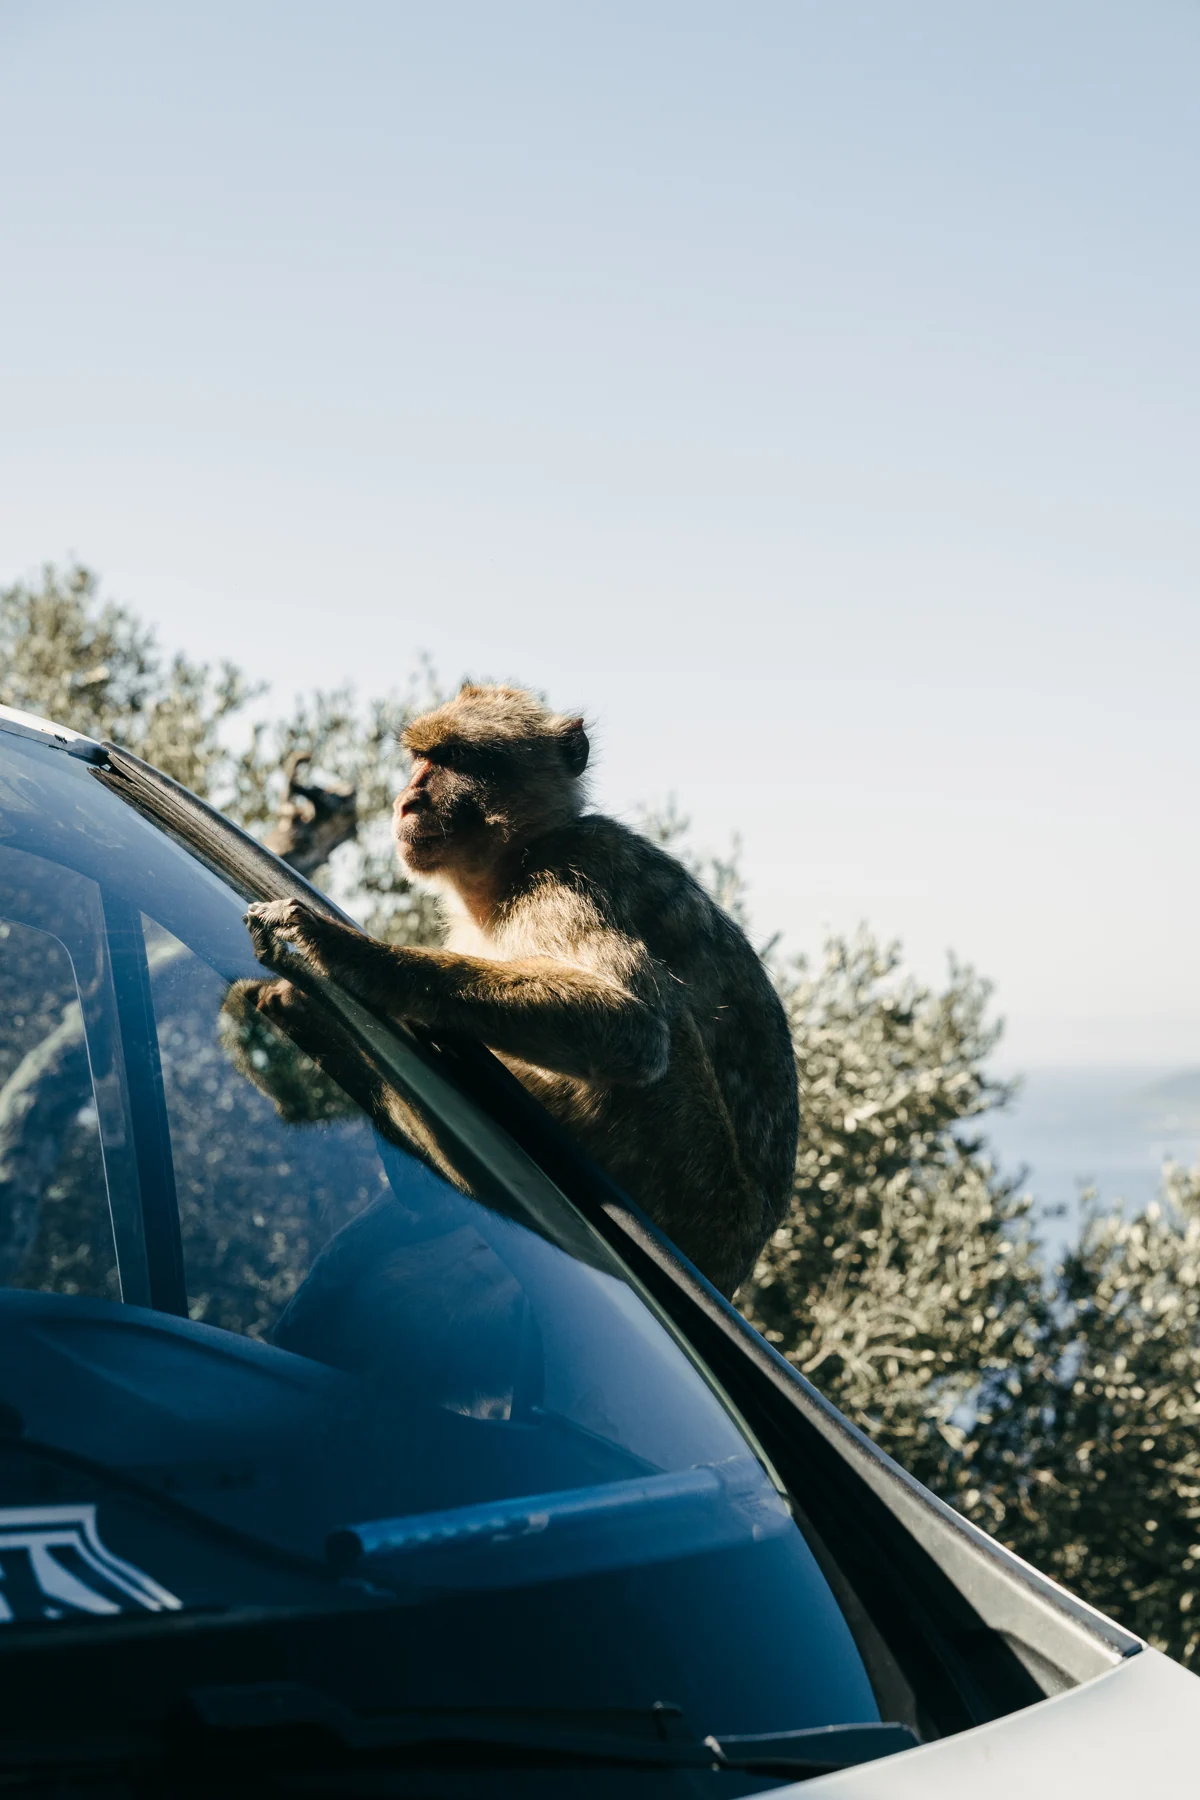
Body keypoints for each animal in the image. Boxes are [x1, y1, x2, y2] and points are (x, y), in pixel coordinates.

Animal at [245, 683, 799, 1298]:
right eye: (421, 759)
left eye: (457, 760)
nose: (408, 801)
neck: (519, 860)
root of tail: (734, 1263)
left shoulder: (571, 877)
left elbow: (634, 1027)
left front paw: (350, 952)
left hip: (693, 1175)